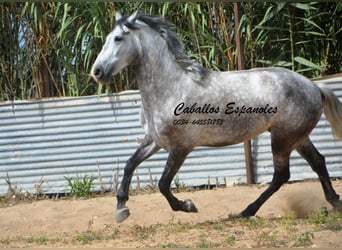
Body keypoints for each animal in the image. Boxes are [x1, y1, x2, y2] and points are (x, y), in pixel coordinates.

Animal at [91, 11, 342, 223]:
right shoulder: (155, 140)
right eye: (107, 38)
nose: (97, 72)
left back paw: (246, 211)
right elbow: (129, 164)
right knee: (318, 162)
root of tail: (315, 87)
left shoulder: (181, 147)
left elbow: (163, 184)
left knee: (282, 175)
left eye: (118, 39)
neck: (173, 87)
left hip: (282, 139)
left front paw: (188, 206)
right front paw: (121, 209)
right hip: (297, 138)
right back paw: (334, 202)